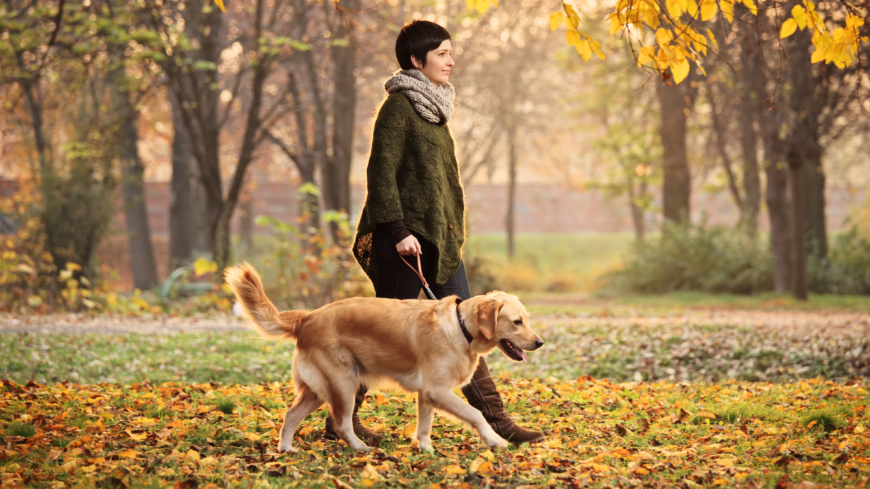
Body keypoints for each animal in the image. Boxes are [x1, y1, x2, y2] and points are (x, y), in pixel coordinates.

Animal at [223, 264, 544, 450]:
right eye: (517, 322)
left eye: (526, 320)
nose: (539, 342)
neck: (461, 327)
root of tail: (307, 317)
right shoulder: (437, 390)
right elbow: (476, 414)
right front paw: (495, 440)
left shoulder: (427, 394)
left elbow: (424, 428)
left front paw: (425, 451)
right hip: (342, 383)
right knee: (341, 423)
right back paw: (361, 449)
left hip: (318, 388)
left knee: (291, 415)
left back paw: (286, 450)